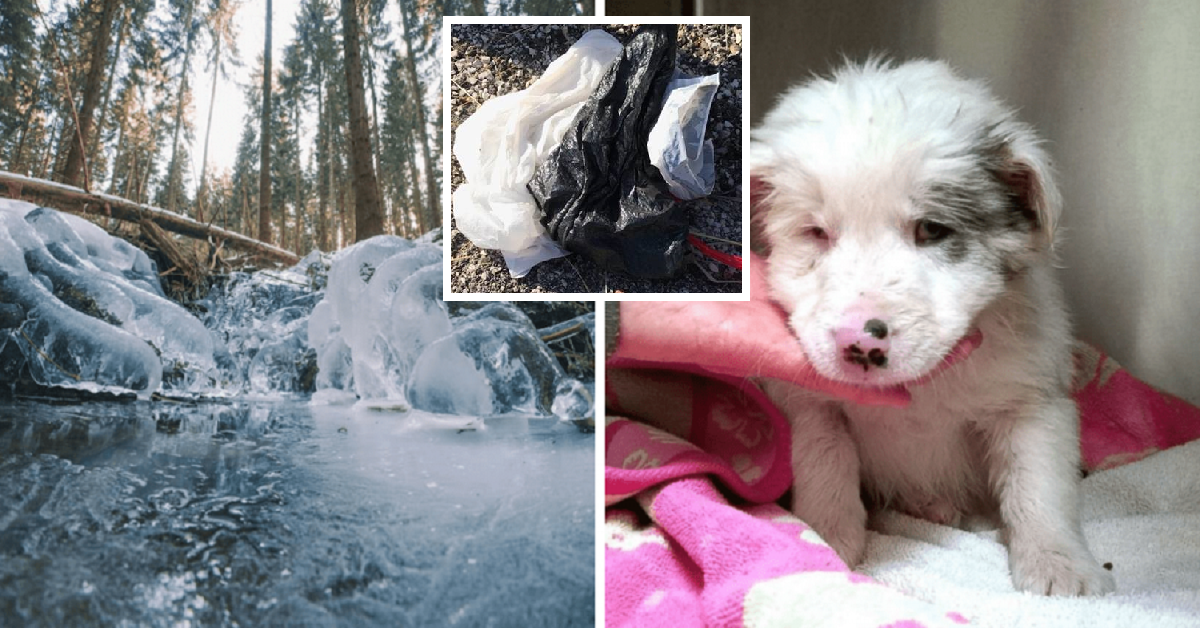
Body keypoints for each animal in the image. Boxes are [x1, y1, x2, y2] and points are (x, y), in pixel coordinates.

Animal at [748, 61, 1113, 597]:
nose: (859, 343)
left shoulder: (1031, 402)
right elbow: (825, 464)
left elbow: (1038, 487)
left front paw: (1059, 566)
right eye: (816, 232)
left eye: (932, 229)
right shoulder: (808, 402)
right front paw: (825, 543)